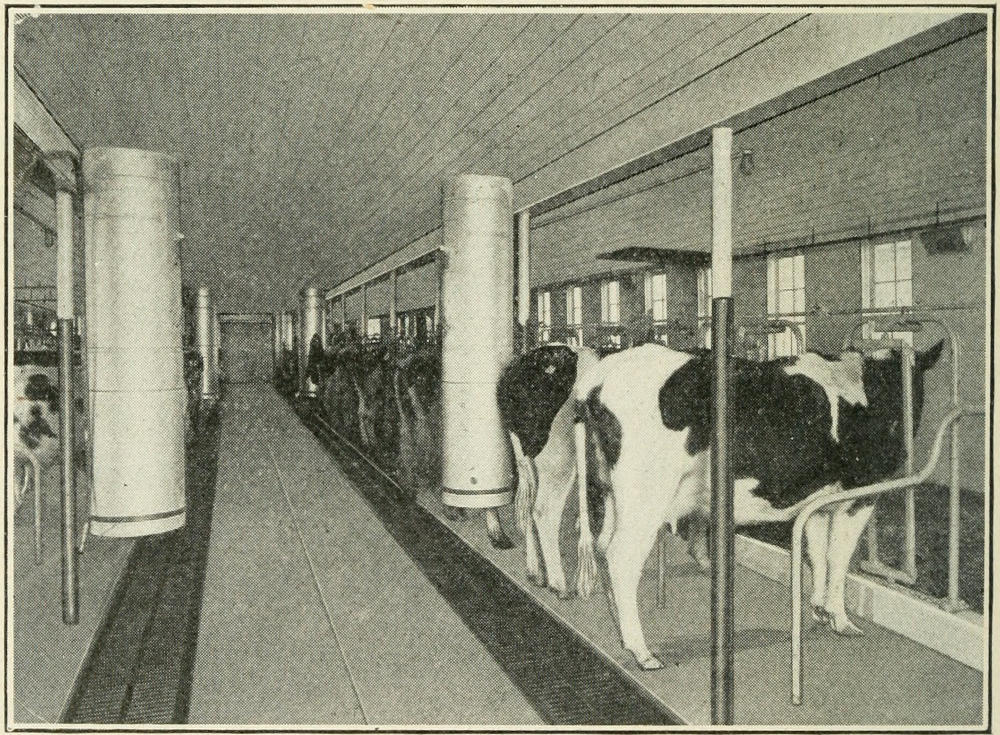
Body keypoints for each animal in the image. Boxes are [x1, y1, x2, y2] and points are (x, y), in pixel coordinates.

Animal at [496, 344, 596, 600]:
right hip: (560, 460)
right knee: (543, 510)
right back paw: (558, 584)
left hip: (526, 458)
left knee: (528, 506)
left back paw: (535, 572)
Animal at [576, 342, 940, 668]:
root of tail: (602, 375)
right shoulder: (859, 492)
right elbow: (838, 559)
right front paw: (841, 620)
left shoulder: (818, 499)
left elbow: (818, 553)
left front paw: (819, 610)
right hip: (646, 496)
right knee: (621, 558)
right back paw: (641, 650)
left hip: (611, 493)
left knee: (602, 545)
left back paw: (619, 627)